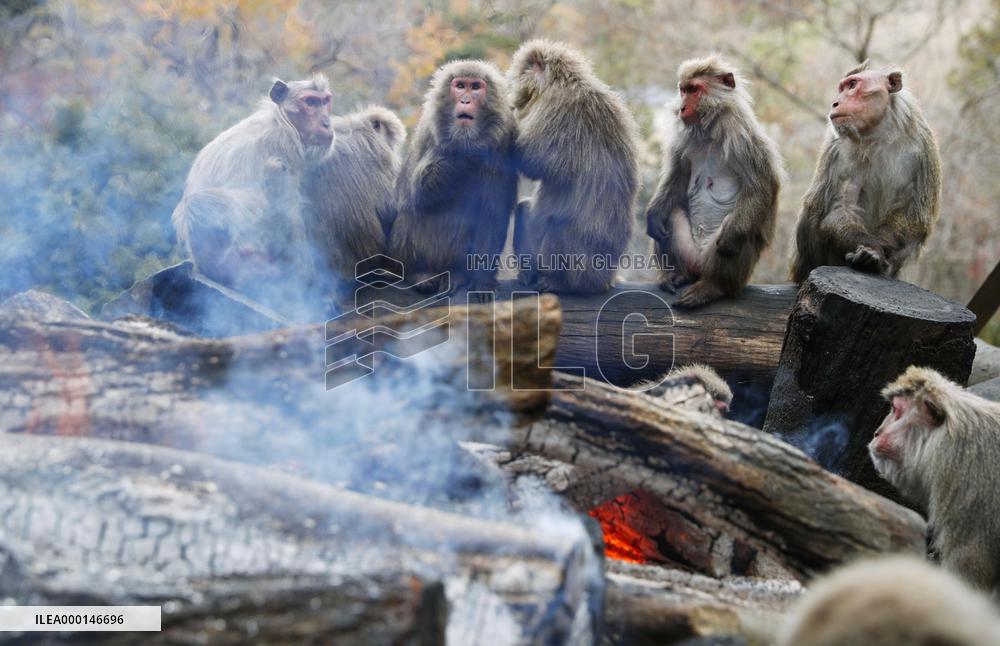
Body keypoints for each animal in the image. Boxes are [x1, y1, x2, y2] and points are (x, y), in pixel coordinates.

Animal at [388, 60, 518, 295]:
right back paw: (419, 273)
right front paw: (467, 148)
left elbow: (493, 212)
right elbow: (419, 190)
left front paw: (482, 280)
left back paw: (457, 274)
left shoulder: (505, 143)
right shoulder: (429, 129)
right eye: (460, 86)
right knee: (410, 212)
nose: (465, 100)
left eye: (475, 87)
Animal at [508, 40, 640, 295]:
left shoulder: (555, 108)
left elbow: (533, 161)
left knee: (559, 226)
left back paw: (557, 281)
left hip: (586, 266)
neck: (561, 80)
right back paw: (529, 274)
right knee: (525, 210)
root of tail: (606, 278)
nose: (512, 98)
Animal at [645, 55, 782, 308]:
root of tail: (699, 268)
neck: (709, 128)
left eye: (694, 90)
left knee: (737, 230)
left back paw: (712, 287)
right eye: (683, 90)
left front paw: (732, 236)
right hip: (689, 256)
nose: (682, 107)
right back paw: (674, 275)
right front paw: (653, 214)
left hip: (725, 266)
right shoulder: (684, 138)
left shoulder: (741, 133)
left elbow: (762, 186)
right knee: (671, 212)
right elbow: (677, 177)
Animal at [790, 61, 941, 283]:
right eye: (842, 88)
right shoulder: (839, 148)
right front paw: (871, 251)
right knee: (814, 208)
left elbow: (913, 215)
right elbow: (842, 206)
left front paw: (874, 254)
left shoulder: (922, 147)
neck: (879, 133)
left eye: (853, 85)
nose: (835, 103)